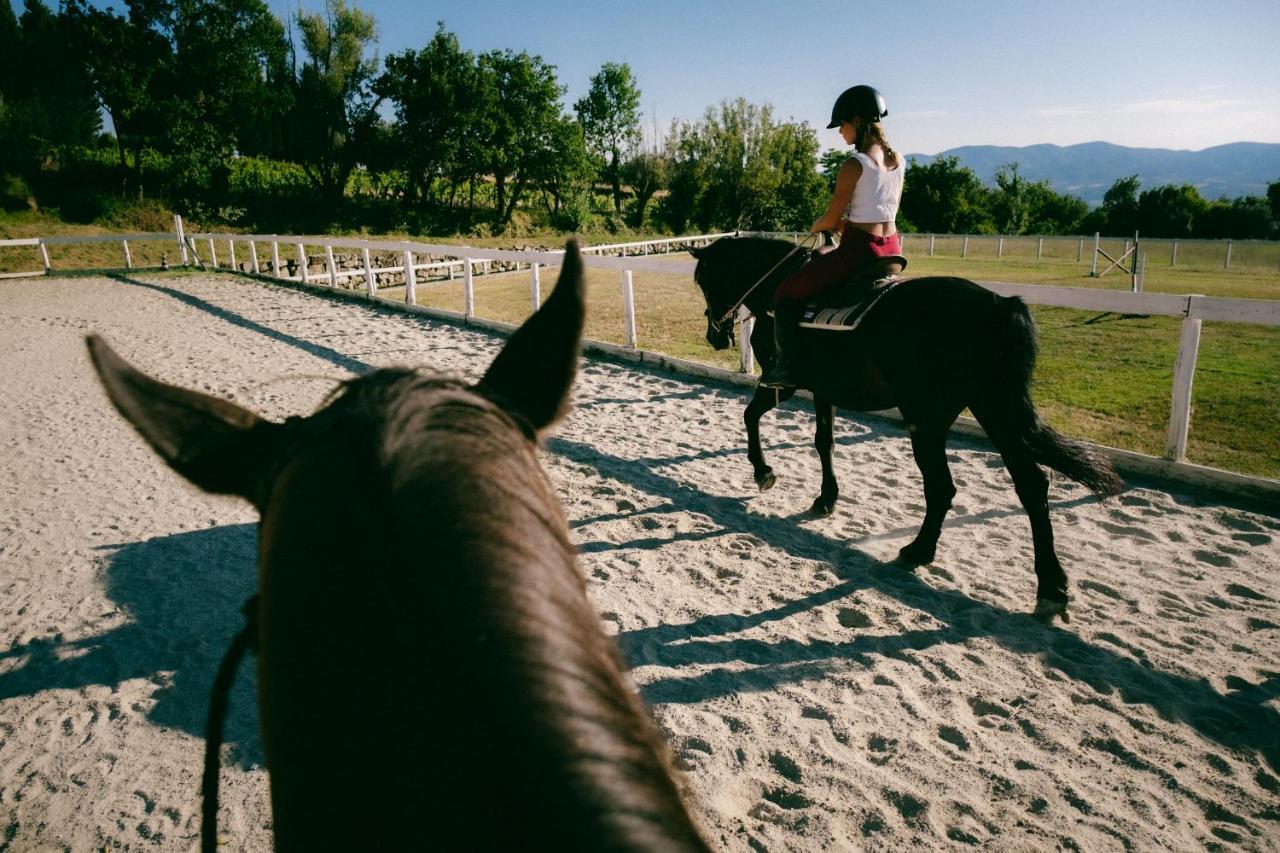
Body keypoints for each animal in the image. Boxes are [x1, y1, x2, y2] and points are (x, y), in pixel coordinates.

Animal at [691, 235, 1121, 614]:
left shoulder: (782, 382)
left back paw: (919, 550)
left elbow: (750, 416)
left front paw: (763, 472)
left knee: (943, 487)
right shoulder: (824, 390)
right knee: (1031, 486)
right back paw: (1051, 587)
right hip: (995, 411)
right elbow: (823, 441)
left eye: (705, 281)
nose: (715, 335)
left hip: (928, 420)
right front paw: (826, 498)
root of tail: (999, 305)